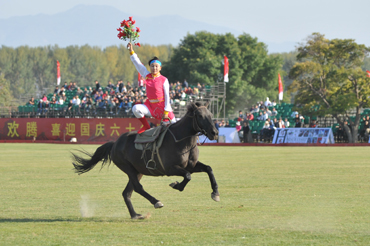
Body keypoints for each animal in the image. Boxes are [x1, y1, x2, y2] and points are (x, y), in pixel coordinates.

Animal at [73, 102, 221, 219]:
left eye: (211, 114)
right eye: (200, 116)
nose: (214, 133)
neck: (181, 141)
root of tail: (114, 143)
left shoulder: (191, 165)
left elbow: (208, 169)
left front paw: (215, 193)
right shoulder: (170, 168)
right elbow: (188, 176)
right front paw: (176, 185)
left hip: (138, 171)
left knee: (127, 192)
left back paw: (135, 215)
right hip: (128, 168)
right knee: (138, 188)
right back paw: (156, 202)